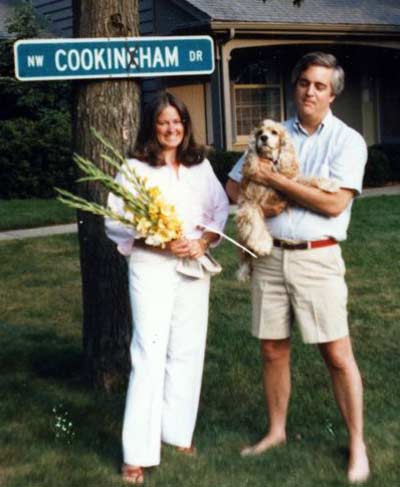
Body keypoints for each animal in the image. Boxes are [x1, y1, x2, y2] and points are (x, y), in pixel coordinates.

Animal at [236, 119, 340, 282]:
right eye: (259, 133)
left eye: (274, 132)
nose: (263, 138)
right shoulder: (249, 202)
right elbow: (255, 221)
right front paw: (263, 244)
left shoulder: (288, 185)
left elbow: (306, 179)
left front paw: (329, 183)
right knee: (244, 254)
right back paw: (244, 271)